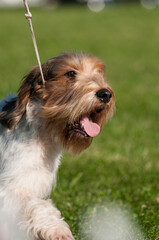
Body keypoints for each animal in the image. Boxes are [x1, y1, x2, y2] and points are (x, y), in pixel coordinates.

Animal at [0, 53, 115, 240]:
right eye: (70, 73)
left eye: (99, 73)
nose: (105, 94)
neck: (41, 131)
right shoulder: (11, 189)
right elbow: (38, 205)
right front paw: (58, 230)